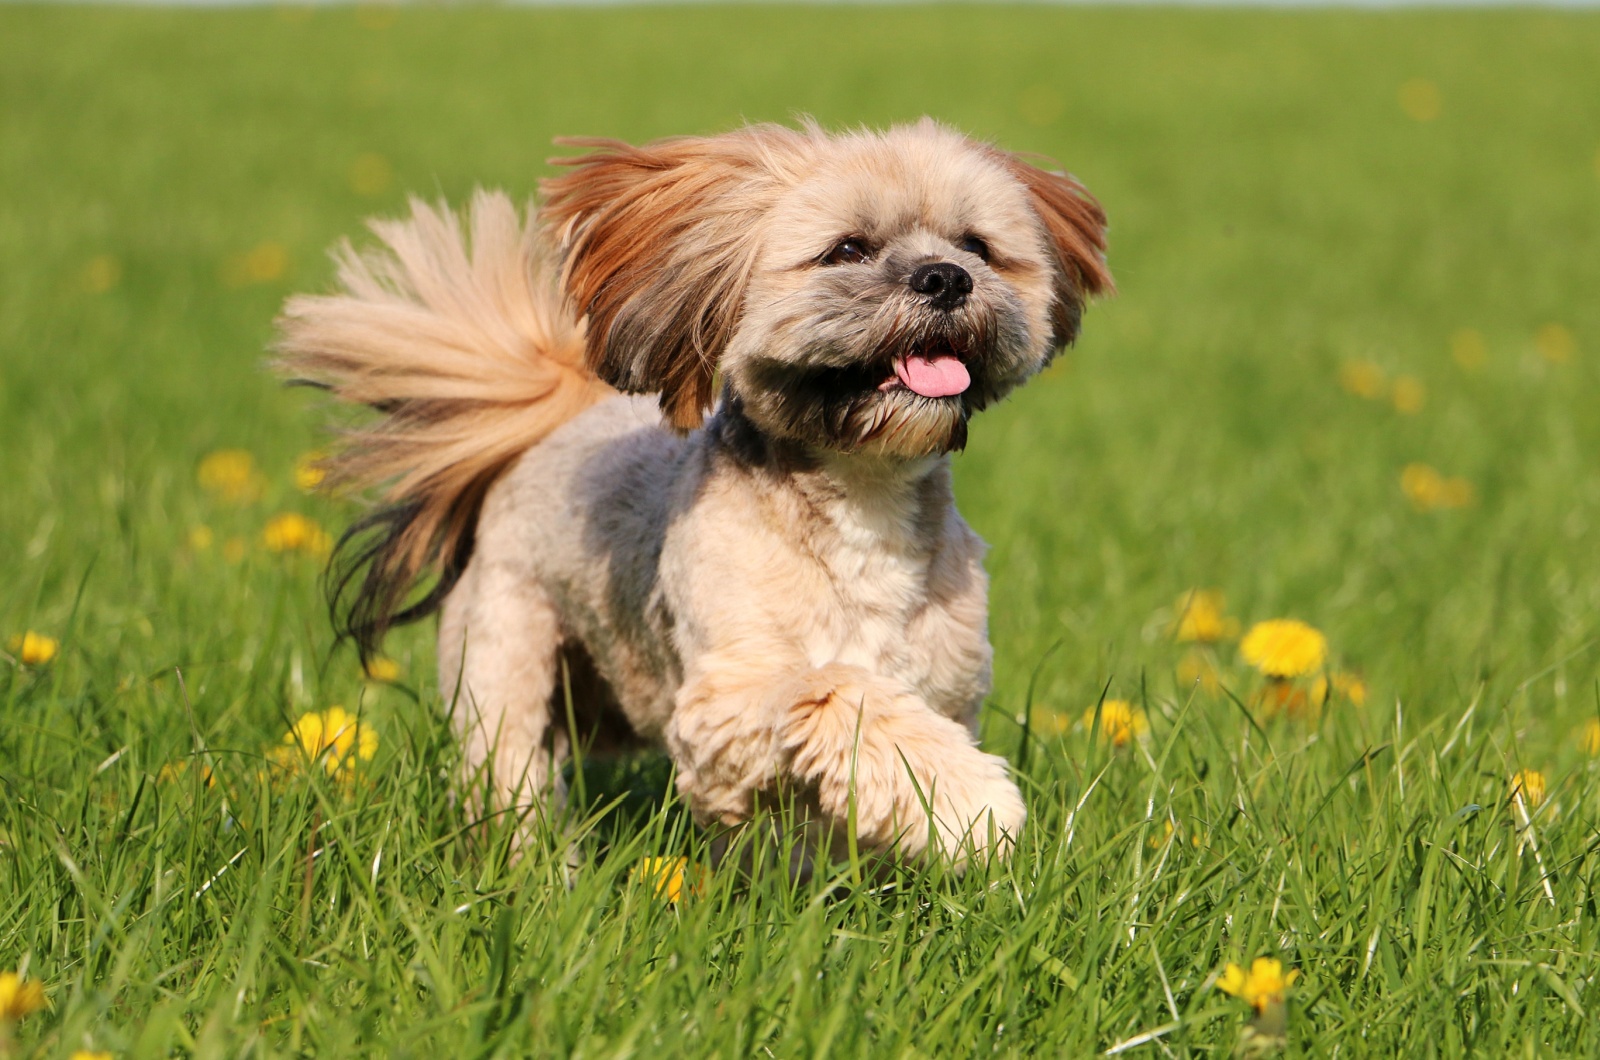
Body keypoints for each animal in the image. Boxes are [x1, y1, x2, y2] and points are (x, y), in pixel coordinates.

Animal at [281, 118, 1107, 864]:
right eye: (847, 249)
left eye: (976, 246)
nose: (946, 277)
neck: (864, 496)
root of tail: (556, 420)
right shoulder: (723, 705)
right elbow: (836, 690)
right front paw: (970, 799)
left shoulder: (951, 687)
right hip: (503, 663)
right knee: (512, 782)